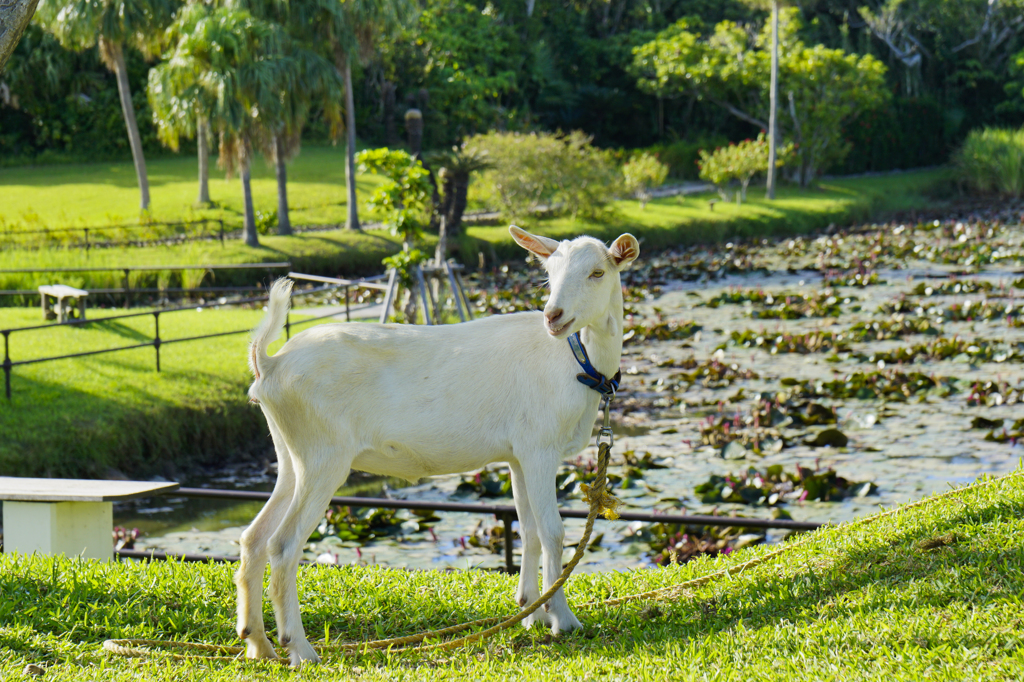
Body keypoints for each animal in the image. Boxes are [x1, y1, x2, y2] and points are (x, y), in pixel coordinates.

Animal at [239, 225, 638, 659]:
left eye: (597, 272)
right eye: (549, 273)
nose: (554, 316)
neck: (575, 364)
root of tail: (270, 364)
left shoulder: (518, 456)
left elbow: (529, 531)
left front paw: (529, 611)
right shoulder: (540, 450)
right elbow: (553, 532)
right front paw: (562, 619)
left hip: (291, 454)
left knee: (254, 537)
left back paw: (258, 643)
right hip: (323, 456)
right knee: (284, 545)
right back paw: (300, 650)